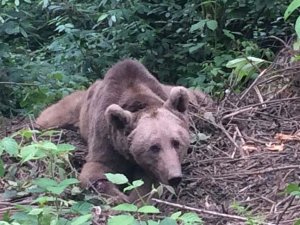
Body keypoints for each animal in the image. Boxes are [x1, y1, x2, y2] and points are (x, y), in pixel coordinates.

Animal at [36, 59, 212, 203]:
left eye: (176, 142)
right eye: (154, 147)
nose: (174, 177)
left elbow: (146, 183)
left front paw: (137, 198)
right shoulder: (106, 138)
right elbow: (95, 170)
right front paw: (119, 197)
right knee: (51, 116)